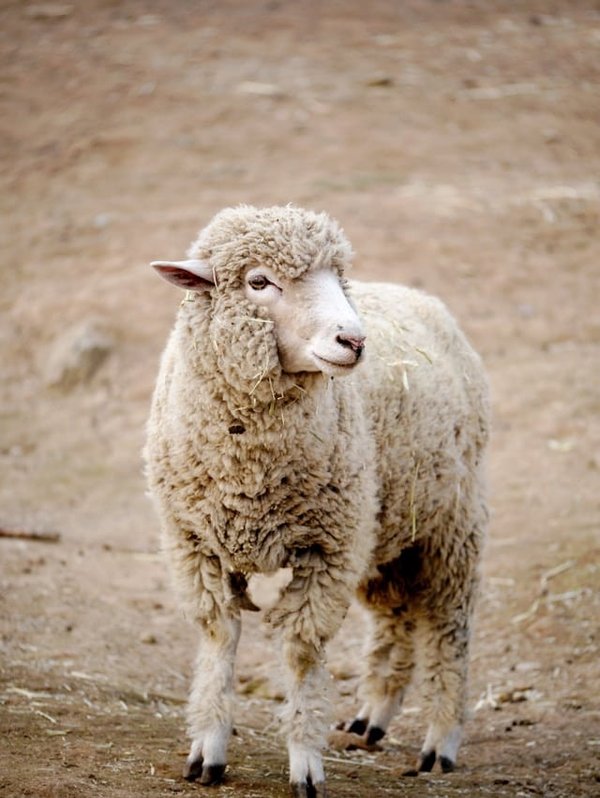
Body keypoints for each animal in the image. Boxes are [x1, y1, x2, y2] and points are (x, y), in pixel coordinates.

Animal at [144, 204, 489, 796]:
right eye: (259, 281)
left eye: (337, 279)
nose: (354, 340)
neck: (250, 472)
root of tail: (421, 297)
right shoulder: (195, 544)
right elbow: (218, 638)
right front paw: (207, 749)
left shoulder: (327, 551)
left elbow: (303, 652)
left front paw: (305, 761)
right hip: (385, 528)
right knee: (396, 616)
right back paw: (373, 715)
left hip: (448, 527)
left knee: (449, 628)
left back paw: (440, 742)